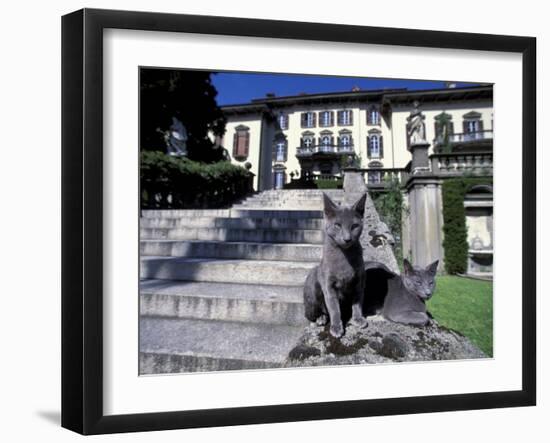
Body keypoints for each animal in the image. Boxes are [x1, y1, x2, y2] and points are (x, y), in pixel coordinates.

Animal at [304, 193, 368, 338]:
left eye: (354, 226)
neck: (344, 257)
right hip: (312, 288)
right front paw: (337, 327)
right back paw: (320, 319)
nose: (347, 239)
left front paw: (358, 318)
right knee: (311, 315)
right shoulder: (328, 285)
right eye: (337, 225)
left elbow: (357, 301)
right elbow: (334, 308)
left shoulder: (360, 281)